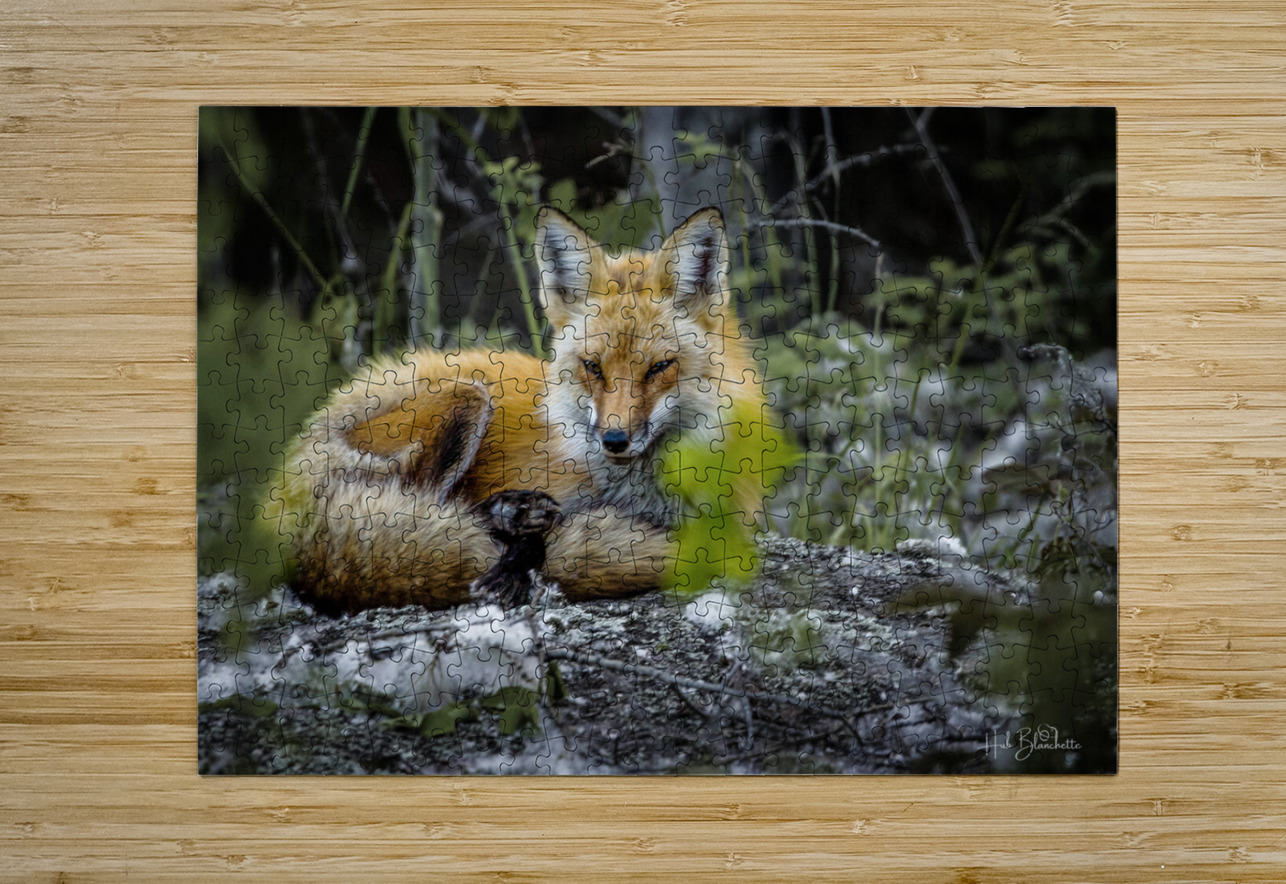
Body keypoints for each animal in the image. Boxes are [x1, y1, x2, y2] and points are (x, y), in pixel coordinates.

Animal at [280, 206, 767, 613]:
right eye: (592, 366)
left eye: (659, 368)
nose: (614, 440)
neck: (639, 497)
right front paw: (519, 555)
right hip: (466, 399)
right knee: (428, 504)